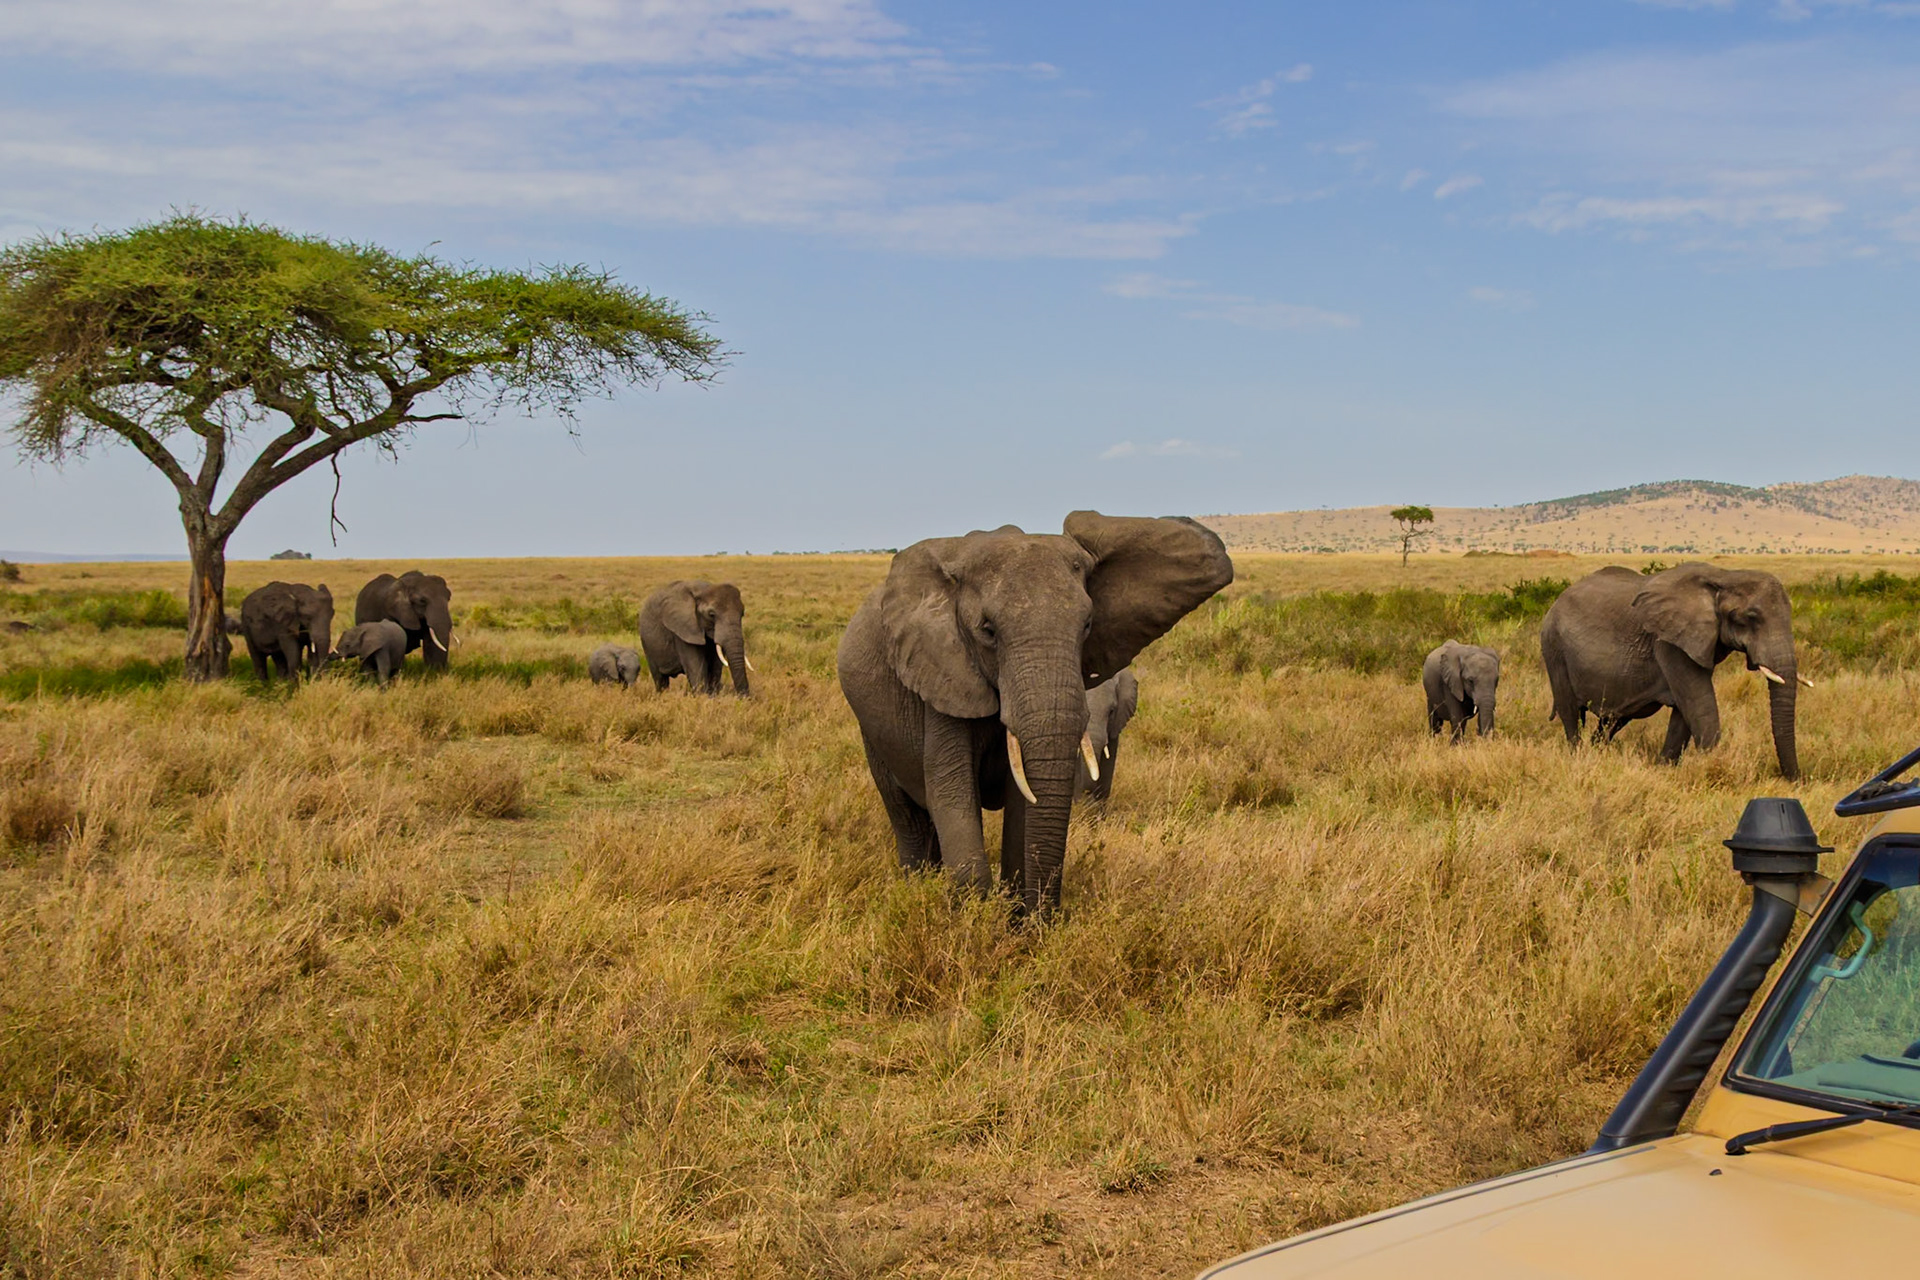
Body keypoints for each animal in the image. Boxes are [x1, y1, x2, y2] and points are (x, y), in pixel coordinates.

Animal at [1540, 563, 1807, 778]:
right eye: (1751, 617)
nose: (1795, 780)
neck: (1724, 576)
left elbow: (1684, 712)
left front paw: (1664, 769)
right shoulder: (1669, 642)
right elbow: (1699, 706)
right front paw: (1711, 766)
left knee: (1612, 721)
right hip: (1554, 648)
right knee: (1570, 713)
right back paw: (1578, 757)